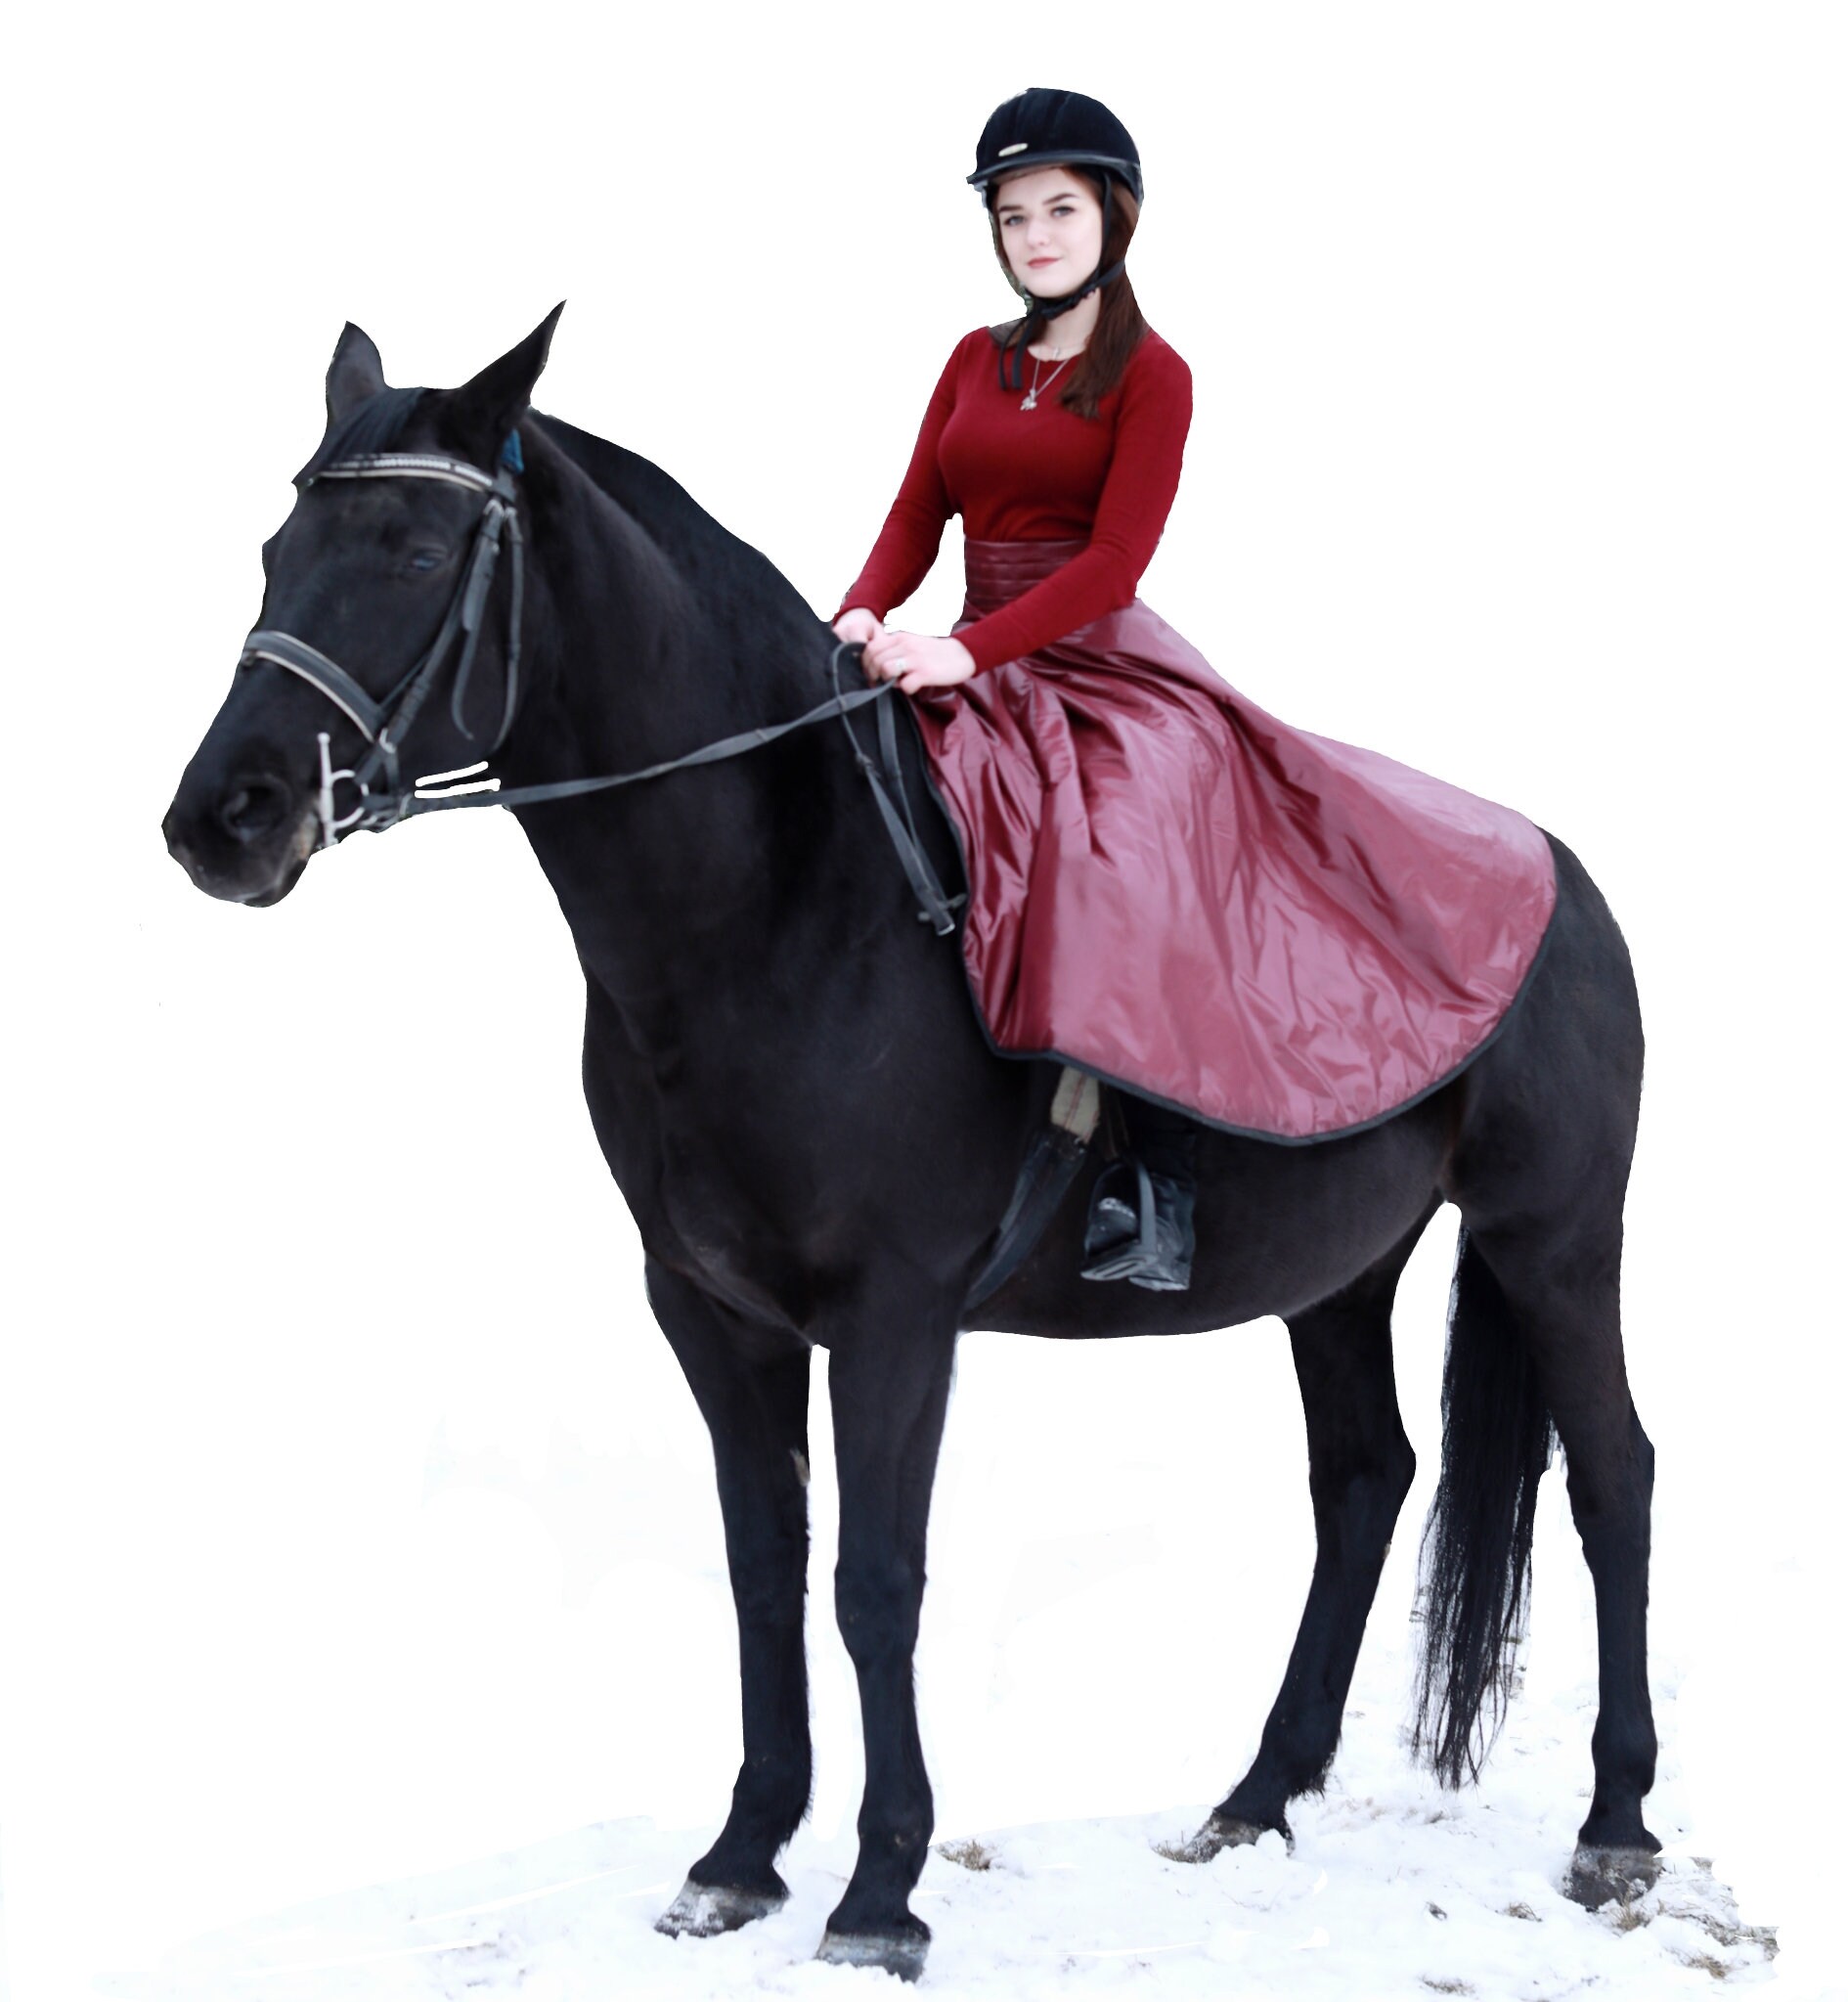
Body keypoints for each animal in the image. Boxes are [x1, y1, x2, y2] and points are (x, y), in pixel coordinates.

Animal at [163, 309, 1659, 1982]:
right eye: (278, 547)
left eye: (418, 552)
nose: (222, 817)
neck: (779, 901)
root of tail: (1562, 876)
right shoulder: (712, 1311)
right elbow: (764, 1564)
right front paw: (740, 1852)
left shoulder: (895, 1312)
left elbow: (875, 1578)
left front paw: (879, 1886)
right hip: (1337, 1273)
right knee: (1362, 1478)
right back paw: (1257, 1792)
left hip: (1552, 1236)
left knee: (1612, 1474)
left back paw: (1614, 1820)